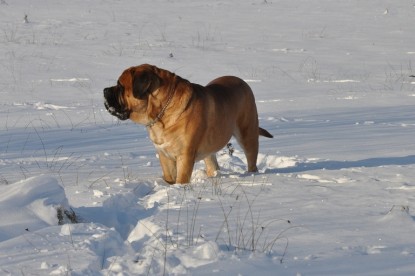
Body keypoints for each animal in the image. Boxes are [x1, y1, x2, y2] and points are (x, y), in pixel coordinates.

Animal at [104, 64, 272, 184]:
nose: (105, 90)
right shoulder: (164, 155)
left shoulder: (185, 155)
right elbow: (170, 178)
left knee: (251, 160)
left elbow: (181, 179)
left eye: (120, 85)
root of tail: (243, 83)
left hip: (248, 134)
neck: (161, 113)